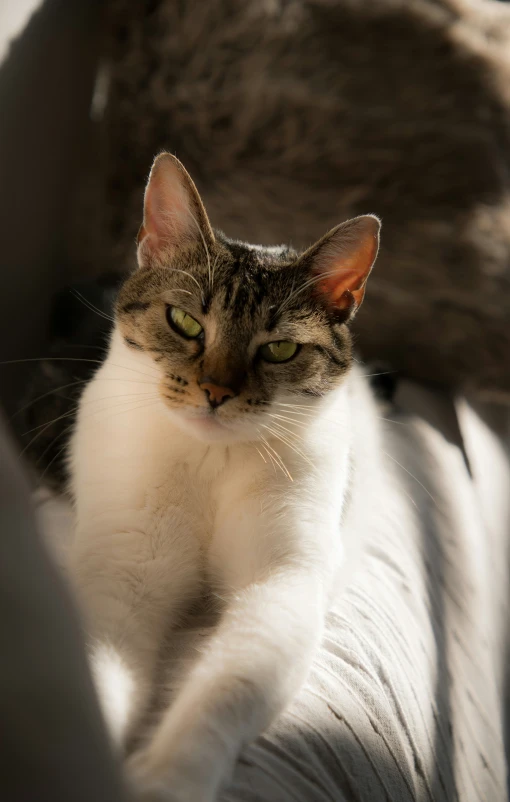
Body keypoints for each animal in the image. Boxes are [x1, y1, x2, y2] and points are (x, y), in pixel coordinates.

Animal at [68, 153, 382, 796]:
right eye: (185, 321)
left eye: (280, 349)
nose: (216, 392)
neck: (213, 460)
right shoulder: (123, 569)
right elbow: (100, 666)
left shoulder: (283, 582)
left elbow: (222, 691)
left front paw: (168, 780)